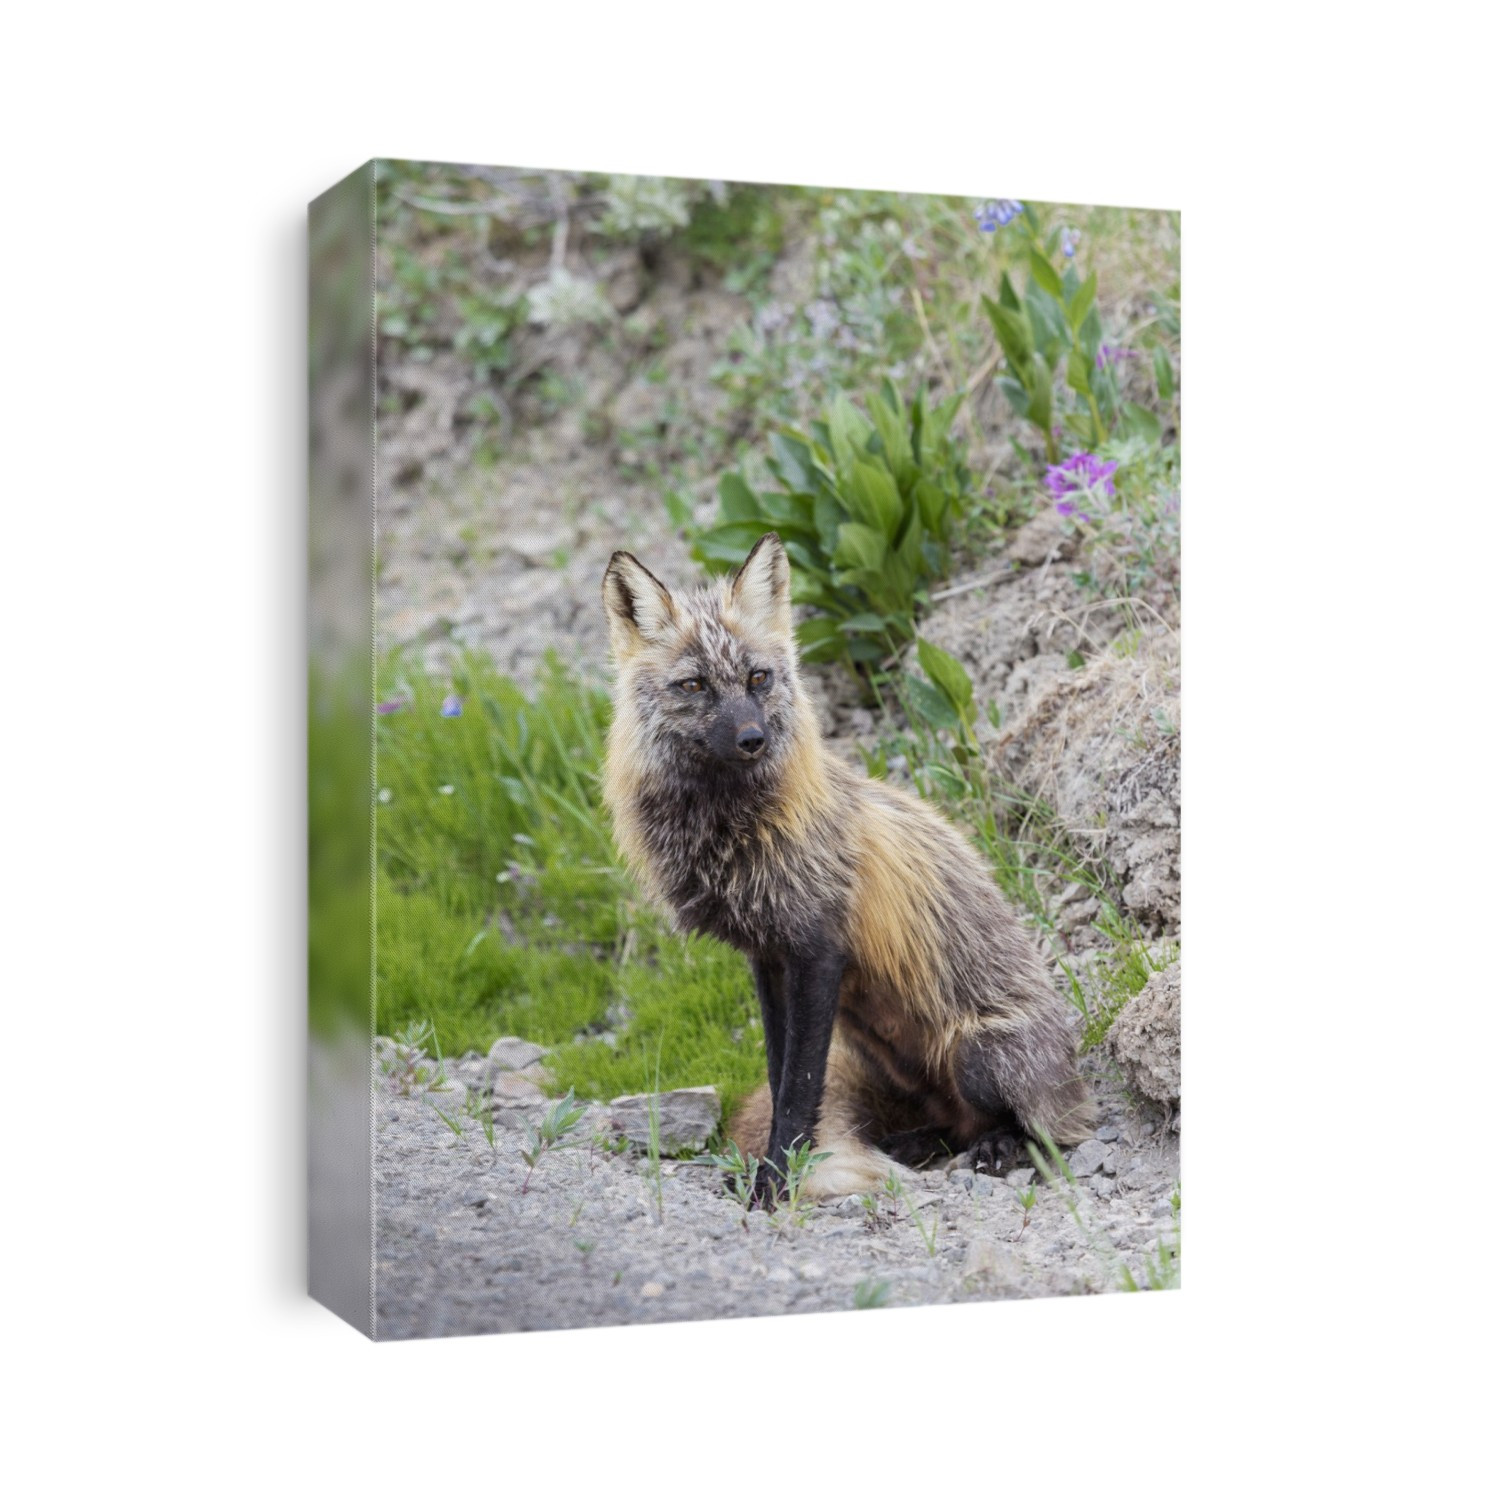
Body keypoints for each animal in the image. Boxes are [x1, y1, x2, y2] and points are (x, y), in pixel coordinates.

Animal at [600, 532, 1094, 1204]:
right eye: (695, 685)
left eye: (758, 677)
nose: (752, 739)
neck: (732, 837)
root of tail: (1076, 1084)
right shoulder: (768, 959)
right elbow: (781, 1075)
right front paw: (775, 1174)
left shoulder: (817, 951)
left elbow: (797, 1091)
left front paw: (776, 1184)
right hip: (887, 1052)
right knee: (954, 1123)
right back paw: (920, 1143)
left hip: (978, 1055)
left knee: (1041, 1132)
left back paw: (1001, 1146)